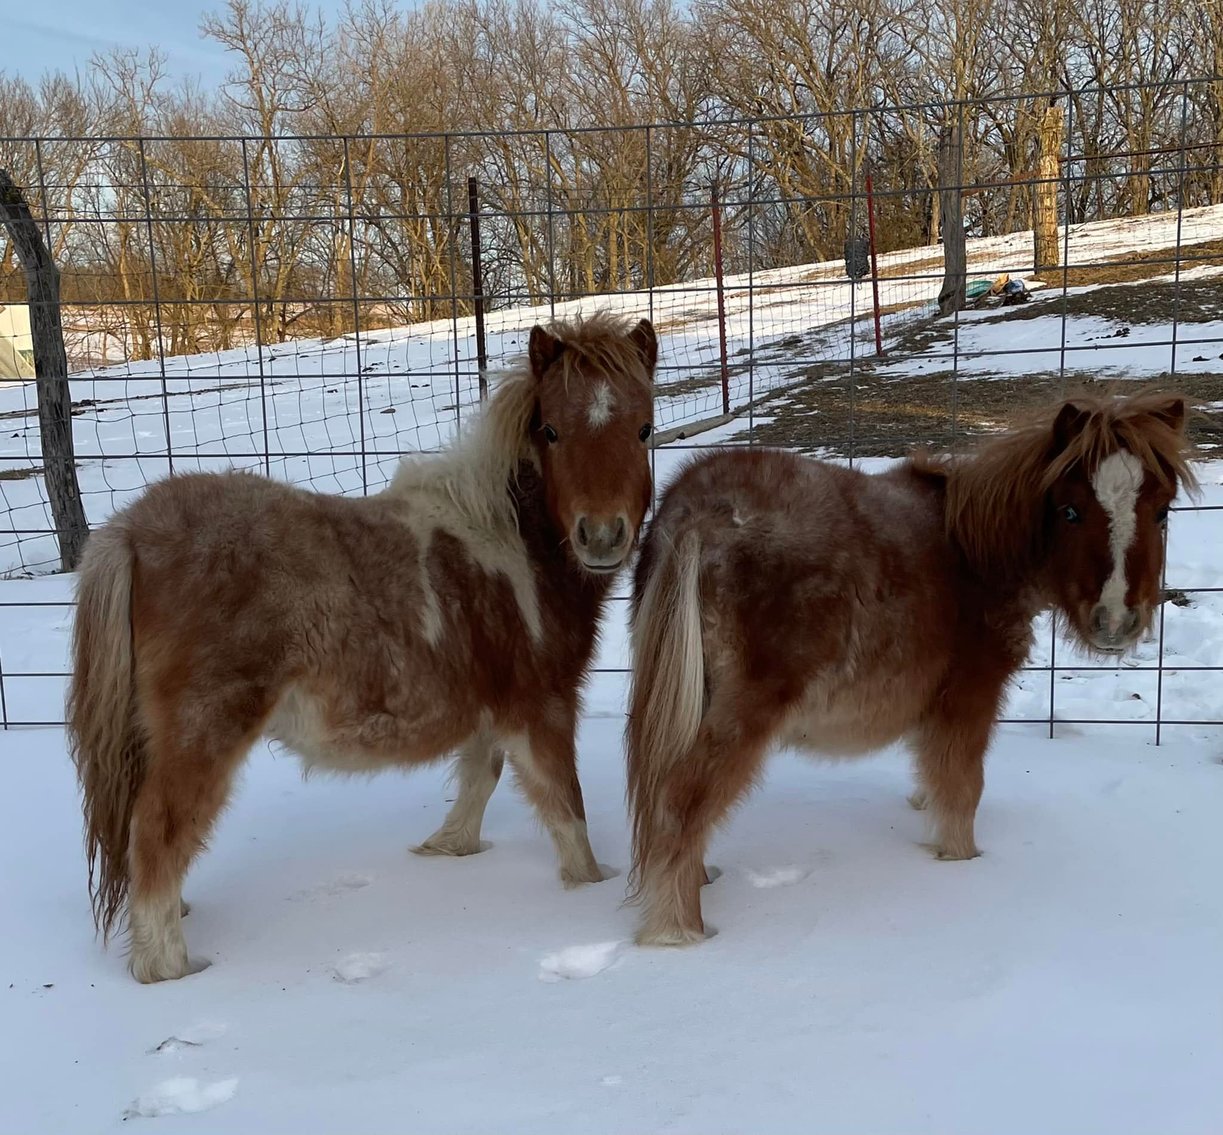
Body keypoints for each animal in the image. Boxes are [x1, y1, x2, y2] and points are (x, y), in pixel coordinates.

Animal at [67, 312, 658, 983]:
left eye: (644, 428)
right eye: (552, 431)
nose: (601, 536)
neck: (515, 544)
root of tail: (128, 532)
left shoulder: (492, 704)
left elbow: (480, 776)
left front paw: (449, 849)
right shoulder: (542, 707)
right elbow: (565, 809)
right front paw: (589, 885)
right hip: (203, 733)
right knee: (158, 830)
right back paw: (170, 967)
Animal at [624, 389, 1196, 947]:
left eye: (1163, 513)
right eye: (1071, 512)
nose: (1116, 621)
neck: (974, 553)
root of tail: (697, 511)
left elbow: (932, 778)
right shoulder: (968, 700)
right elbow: (963, 789)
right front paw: (960, 861)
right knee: (679, 802)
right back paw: (679, 932)